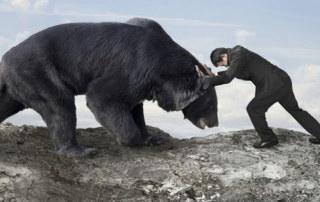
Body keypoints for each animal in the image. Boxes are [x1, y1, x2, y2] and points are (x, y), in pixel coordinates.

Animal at [0, 18, 218, 157]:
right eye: (211, 107)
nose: (215, 123)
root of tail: (4, 61)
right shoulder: (134, 70)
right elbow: (102, 97)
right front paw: (128, 140)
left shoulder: (143, 84)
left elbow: (135, 109)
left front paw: (153, 138)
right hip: (38, 72)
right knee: (59, 106)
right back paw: (81, 152)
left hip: (19, 85)